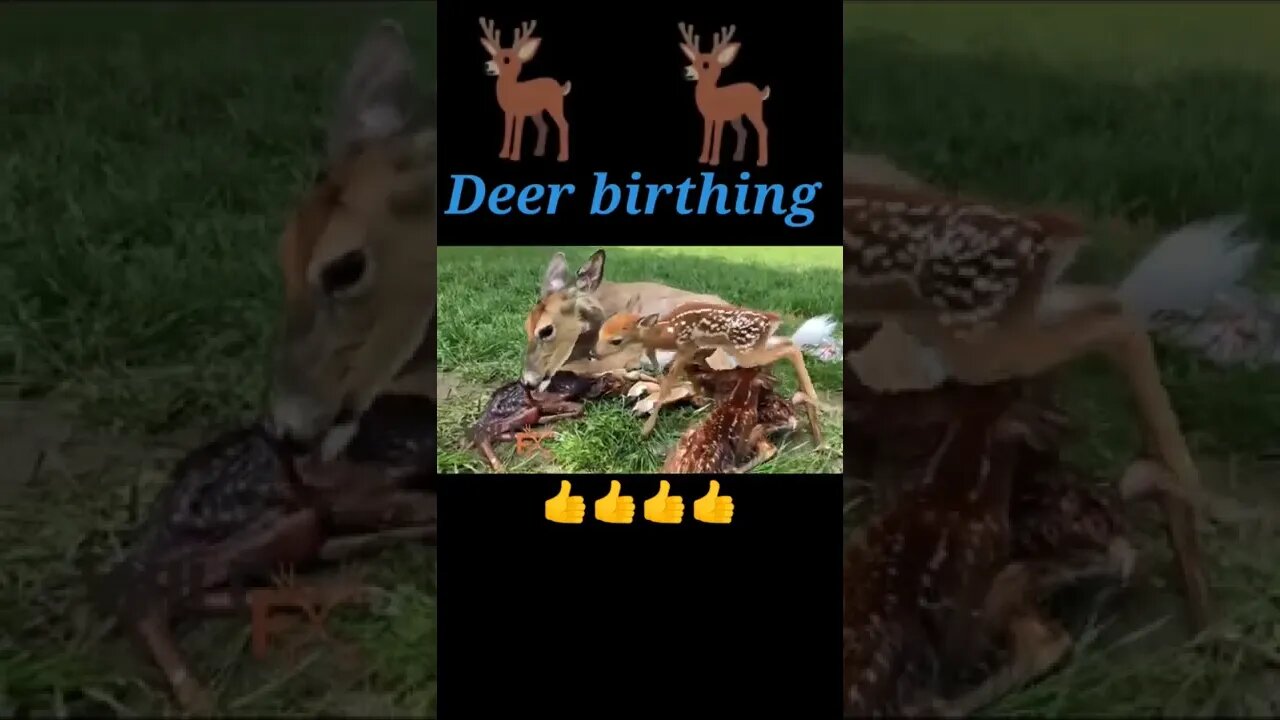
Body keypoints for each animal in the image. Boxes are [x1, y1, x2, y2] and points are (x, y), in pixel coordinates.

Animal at [478, 17, 570, 162]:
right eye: (494, 57)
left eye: (506, 60)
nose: (486, 65)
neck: (512, 90)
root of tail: (561, 88)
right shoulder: (509, 112)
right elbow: (507, 131)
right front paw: (503, 154)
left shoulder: (520, 112)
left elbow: (517, 132)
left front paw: (515, 157)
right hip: (536, 112)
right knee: (544, 127)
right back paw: (538, 152)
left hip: (555, 105)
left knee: (563, 125)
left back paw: (562, 157)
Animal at [592, 302, 826, 446]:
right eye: (600, 331)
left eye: (616, 340)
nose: (593, 353)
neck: (666, 332)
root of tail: (772, 319)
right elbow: (668, 374)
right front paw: (699, 398)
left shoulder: (686, 347)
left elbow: (669, 383)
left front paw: (646, 430)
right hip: (754, 346)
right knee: (789, 343)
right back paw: (816, 430)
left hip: (746, 351)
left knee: (791, 349)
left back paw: (814, 403)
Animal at [677, 22, 770, 167]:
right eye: (693, 61)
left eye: (706, 65)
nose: (685, 70)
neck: (712, 96)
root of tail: (760, 93)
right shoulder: (708, 118)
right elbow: (707, 136)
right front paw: (702, 159)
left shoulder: (720, 117)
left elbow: (716, 138)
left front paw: (714, 161)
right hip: (736, 117)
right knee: (743, 131)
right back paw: (737, 157)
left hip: (754, 110)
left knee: (763, 129)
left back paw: (761, 161)